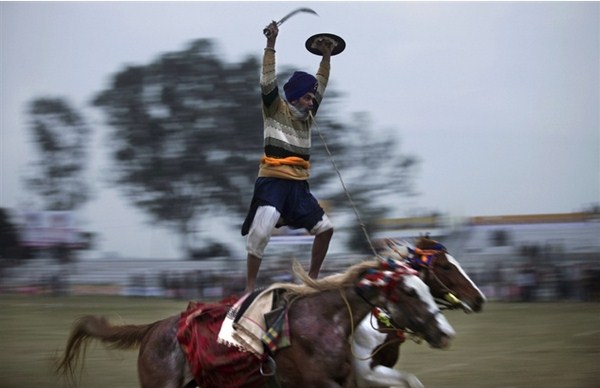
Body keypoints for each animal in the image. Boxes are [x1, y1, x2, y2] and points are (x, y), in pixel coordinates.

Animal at [56, 256, 452, 386]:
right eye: (411, 291)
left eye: (426, 286)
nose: (446, 332)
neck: (325, 324)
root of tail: (153, 329)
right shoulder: (318, 383)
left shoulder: (348, 378)